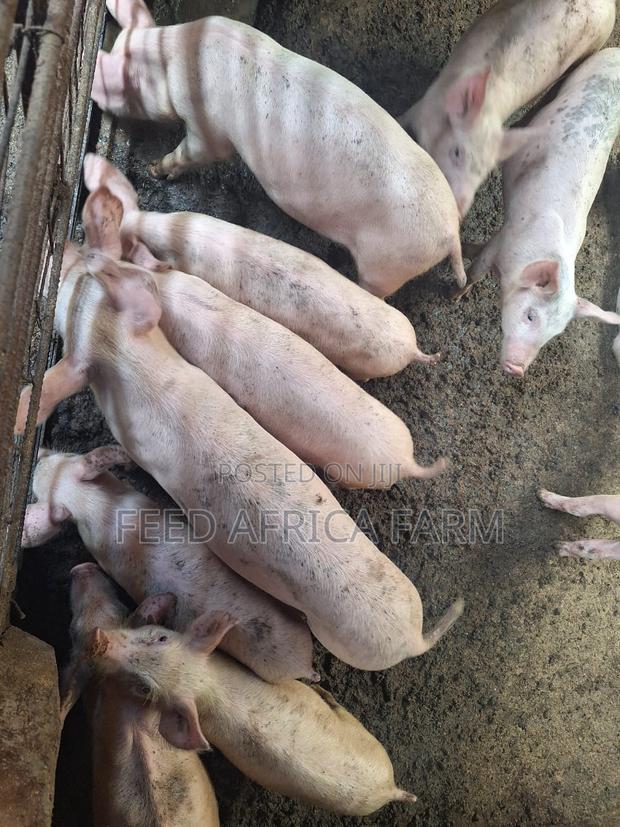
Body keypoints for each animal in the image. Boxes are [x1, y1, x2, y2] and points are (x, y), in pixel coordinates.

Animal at [92, 5, 467, 295]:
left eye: (123, 84)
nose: (95, 94)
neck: (175, 57)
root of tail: (451, 232)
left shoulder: (208, 127)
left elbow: (196, 152)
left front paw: (156, 169)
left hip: (386, 265)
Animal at [456, 49, 620, 376]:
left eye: (553, 335)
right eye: (531, 315)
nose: (517, 368)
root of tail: (616, 51)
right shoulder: (504, 238)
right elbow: (477, 270)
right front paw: (455, 297)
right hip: (578, 71)